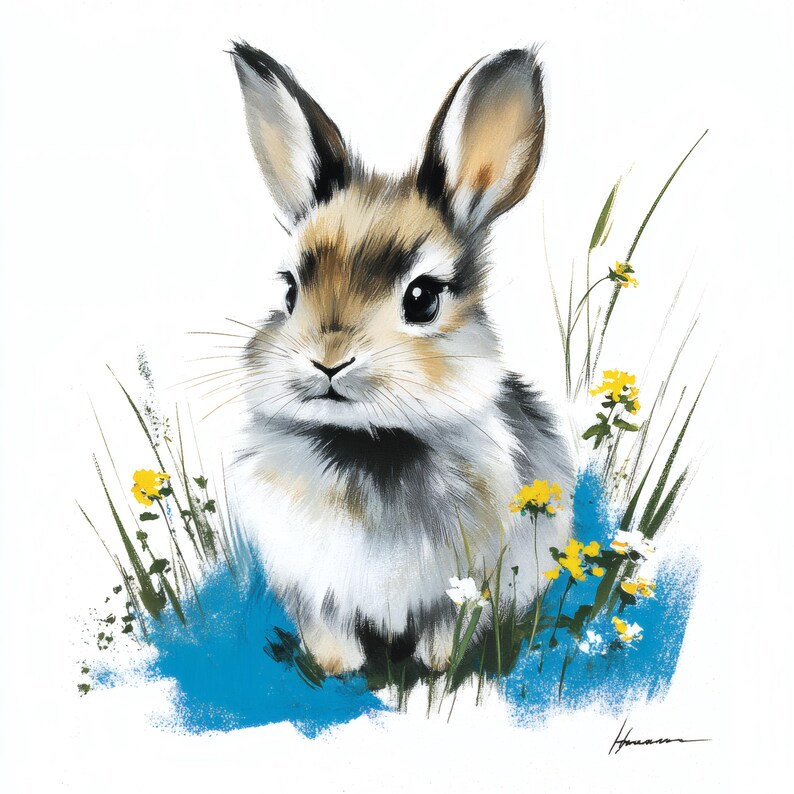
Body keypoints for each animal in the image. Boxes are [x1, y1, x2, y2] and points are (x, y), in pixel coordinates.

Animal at [229, 41, 575, 674]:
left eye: (422, 298)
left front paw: (436, 671)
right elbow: (330, 638)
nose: (328, 360)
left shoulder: (466, 590)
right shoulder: (314, 594)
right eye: (290, 291)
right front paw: (340, 672)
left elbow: (445, 638)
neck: (368, 442)